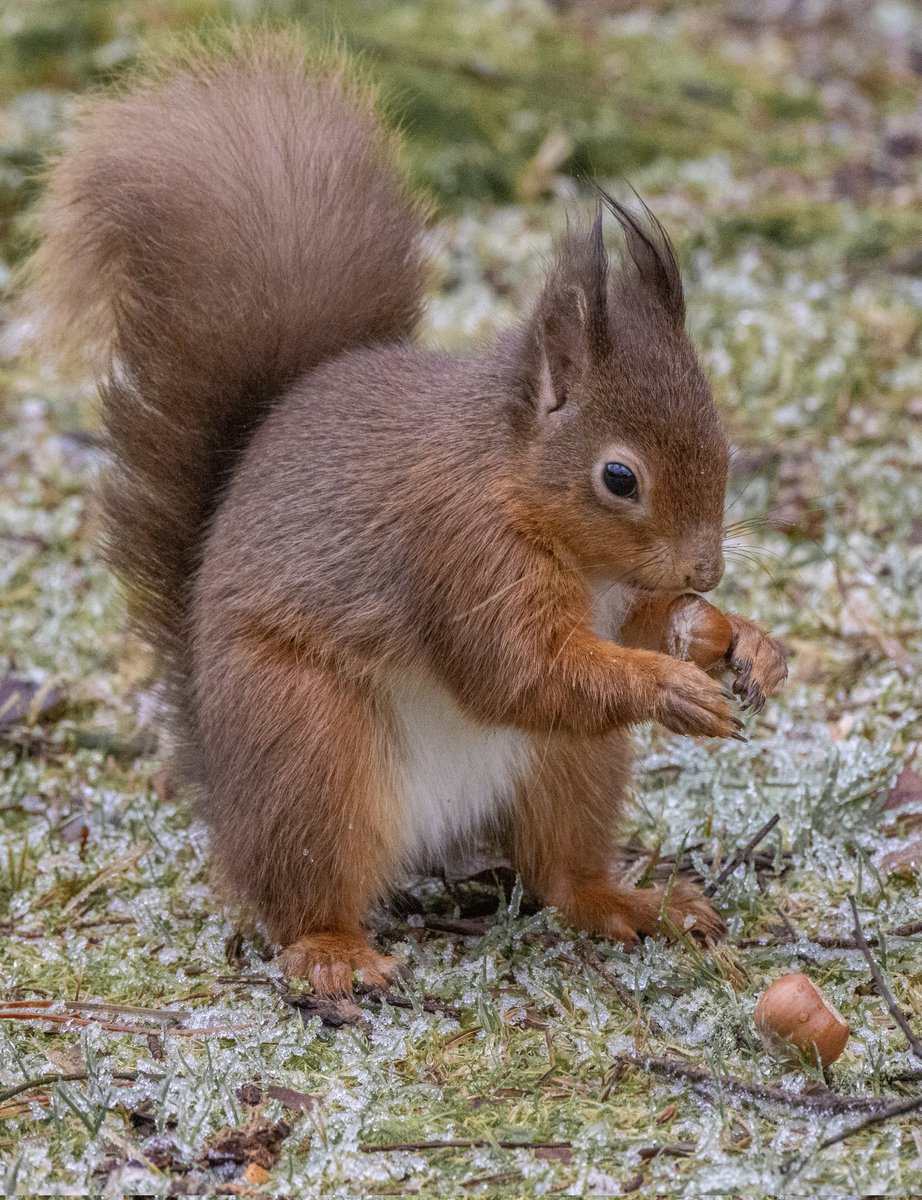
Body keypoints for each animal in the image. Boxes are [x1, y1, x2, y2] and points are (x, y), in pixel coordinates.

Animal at [23, 31, 787, 995]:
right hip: (305, 747)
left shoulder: (614, 598)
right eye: (619, 478)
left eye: (725, 443)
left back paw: (635, 902)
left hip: (571, 763)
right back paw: (334, 954)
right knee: (299, 892)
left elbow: (638, 633)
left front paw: (742, 641)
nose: (706, 569)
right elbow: (520, 670)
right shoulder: (458, 553)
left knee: (560, 870)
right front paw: (671, 688)